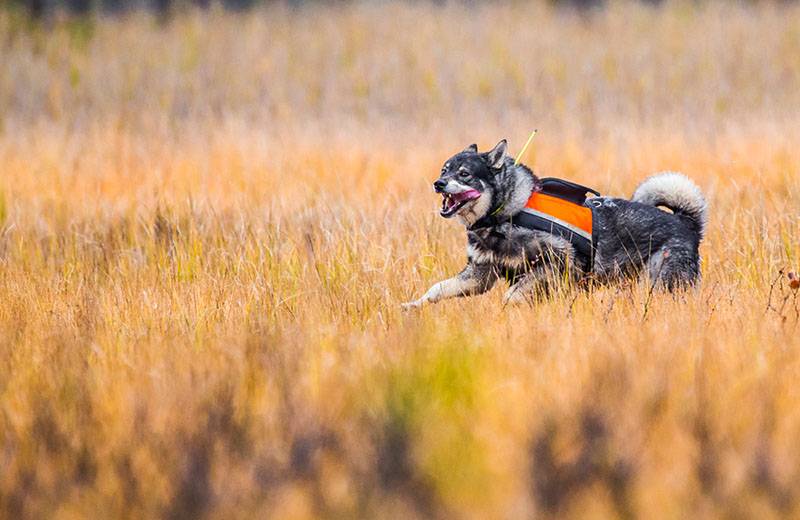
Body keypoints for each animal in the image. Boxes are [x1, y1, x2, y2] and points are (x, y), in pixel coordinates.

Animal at [400, 139, 708, 308]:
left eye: (464, 174)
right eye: (444, 170)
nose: (438, 184)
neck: (507, 211)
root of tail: (686, 222)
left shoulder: (553, 263)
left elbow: (512, 295)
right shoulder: (479, 276)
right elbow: (437, 289)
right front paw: (412, 306)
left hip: (663, 283)